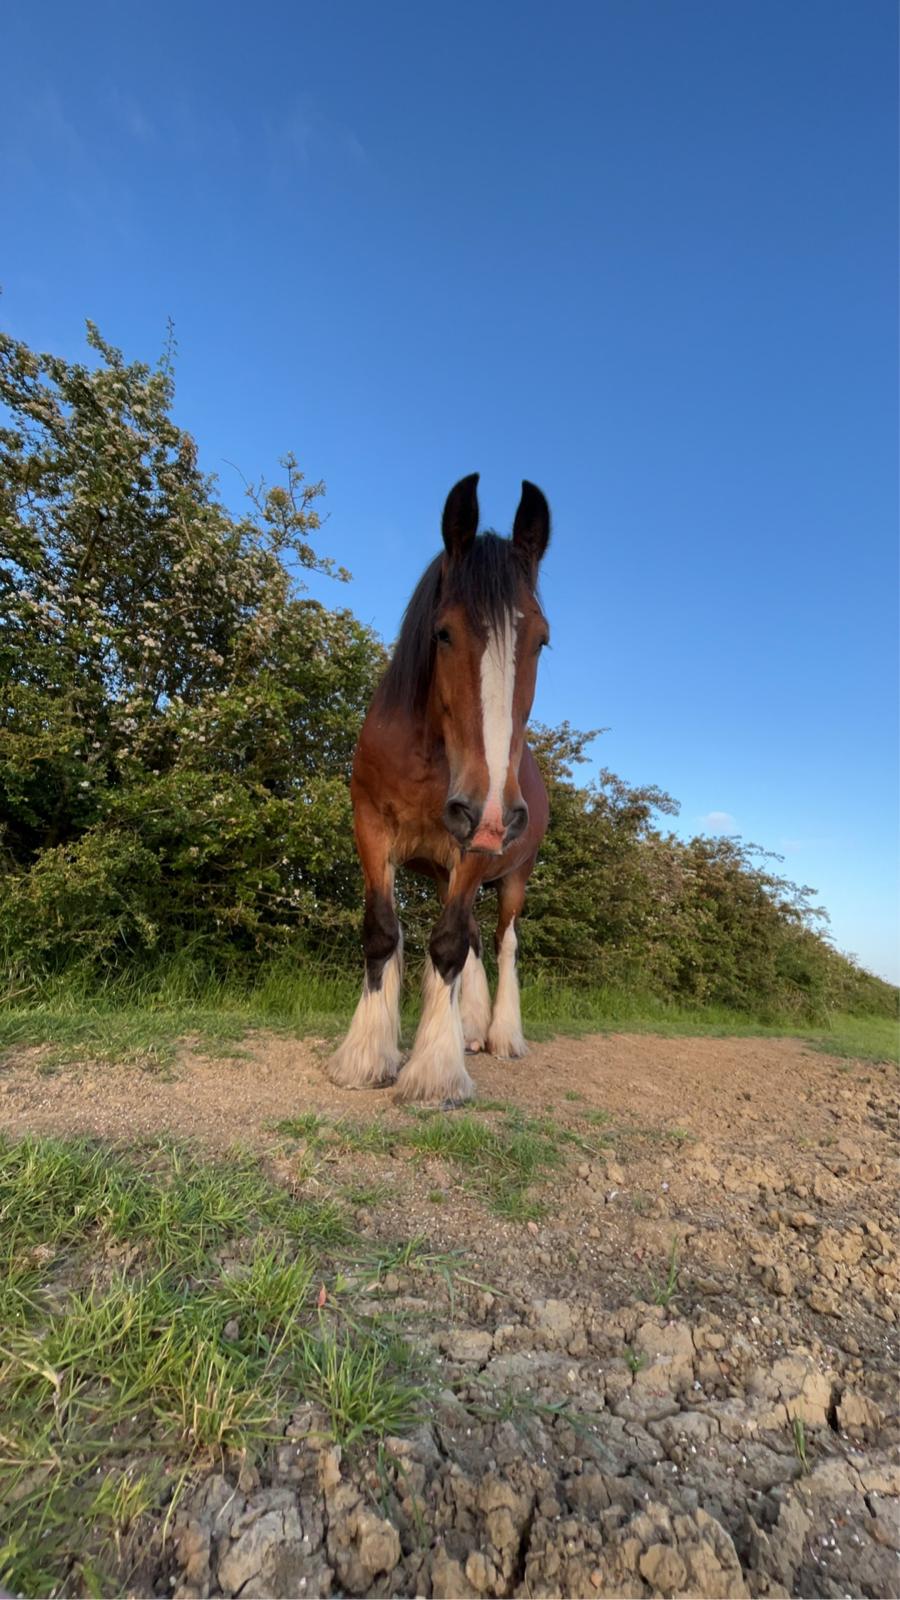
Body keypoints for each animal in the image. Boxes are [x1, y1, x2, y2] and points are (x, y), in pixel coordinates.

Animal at [329, 473, 551, 1105]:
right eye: (443, 632)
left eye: (541, 641)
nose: (493, 811)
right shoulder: (372, 831)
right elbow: (383, 934)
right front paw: (366, 1056)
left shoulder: (472, 850)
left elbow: (449, 944)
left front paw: (434, 1071)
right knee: (474, 940)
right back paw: (469, 1027)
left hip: (512, 872)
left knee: (500, 941)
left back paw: (501, 1035)